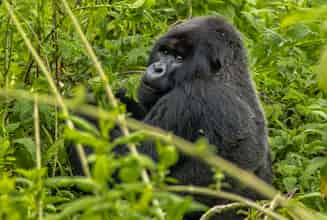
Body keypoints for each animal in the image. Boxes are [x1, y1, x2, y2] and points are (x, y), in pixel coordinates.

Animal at [68, 15, 272, 220]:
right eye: (164, 52)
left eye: (179, 59)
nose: (157, 68)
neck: (223, 74)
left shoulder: (191, 98)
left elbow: (125, 169)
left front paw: (83, 106)